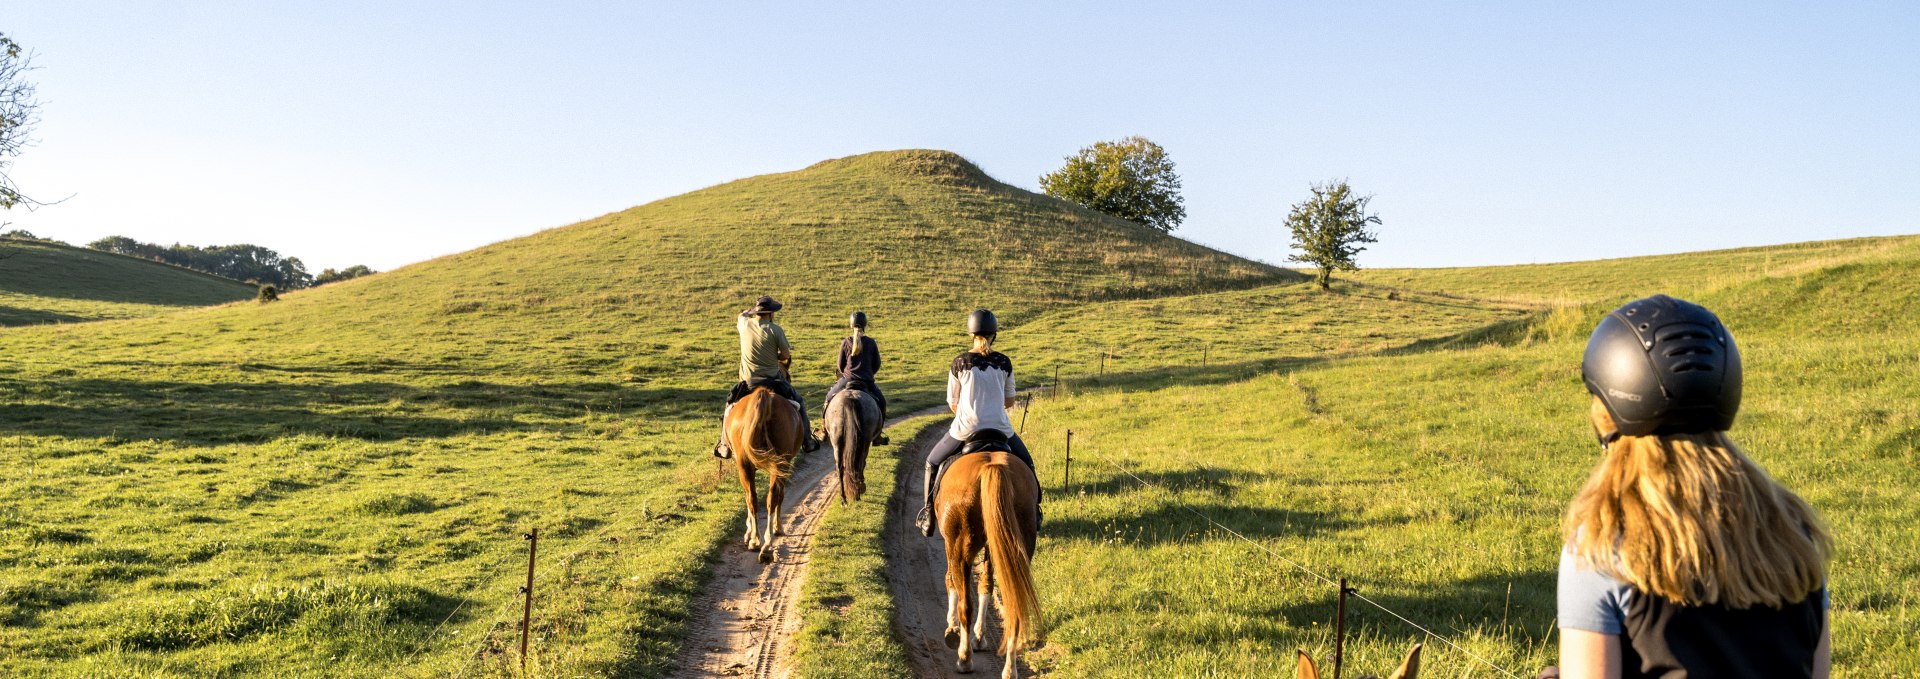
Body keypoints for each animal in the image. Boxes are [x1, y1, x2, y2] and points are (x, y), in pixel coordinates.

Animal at [725, 387, 802, 563]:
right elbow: (780, 496)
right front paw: (777, 527)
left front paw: (749, 533)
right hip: (778, 464)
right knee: (770, 498)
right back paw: (765, 545)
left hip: (746, 465)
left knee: (752, 498)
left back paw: (757, 542)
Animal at [936, 448, 1044, 675]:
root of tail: (992, 467)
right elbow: (985, 586)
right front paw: (979, 636)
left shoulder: (951, 546)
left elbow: (951, 581)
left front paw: (952, 627)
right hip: (1017, 546)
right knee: (1014, 602)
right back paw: (1010, 669)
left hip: (960, 548)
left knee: (966, 605)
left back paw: (964, 659)